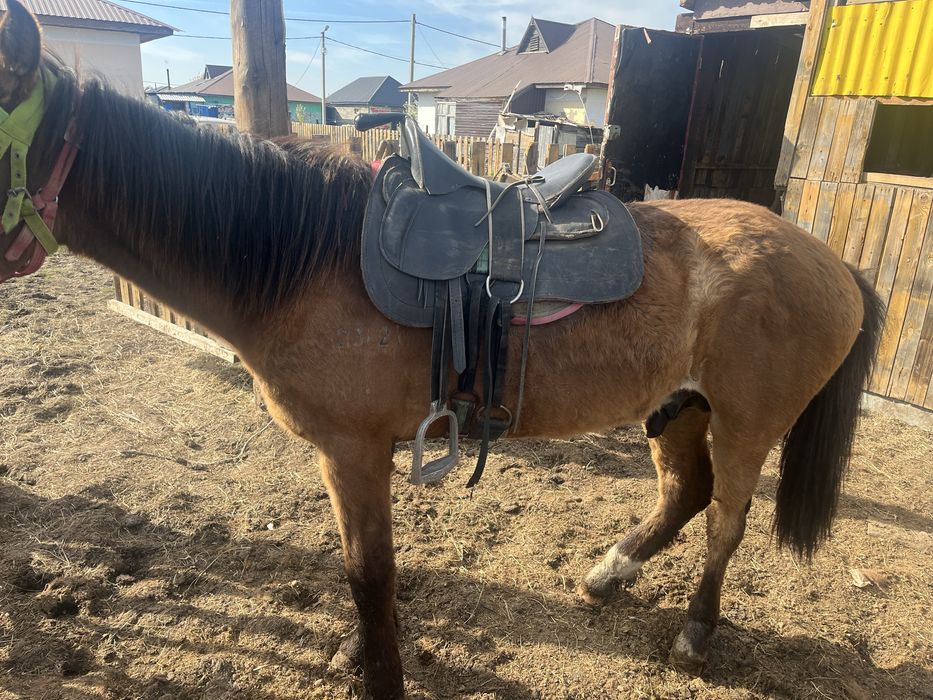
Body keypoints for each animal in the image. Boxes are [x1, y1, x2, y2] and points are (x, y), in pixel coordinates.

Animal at [0, 3, 884, 698]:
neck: (298, 259)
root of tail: (833, 261)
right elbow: (362, 572)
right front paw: (360, 656)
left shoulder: (353, 452)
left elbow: (369, 574)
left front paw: (381, 676)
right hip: (676, 408)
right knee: (685, 494)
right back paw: (608, 574)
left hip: (743, 424)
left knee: (726, 521)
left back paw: (695, 633)